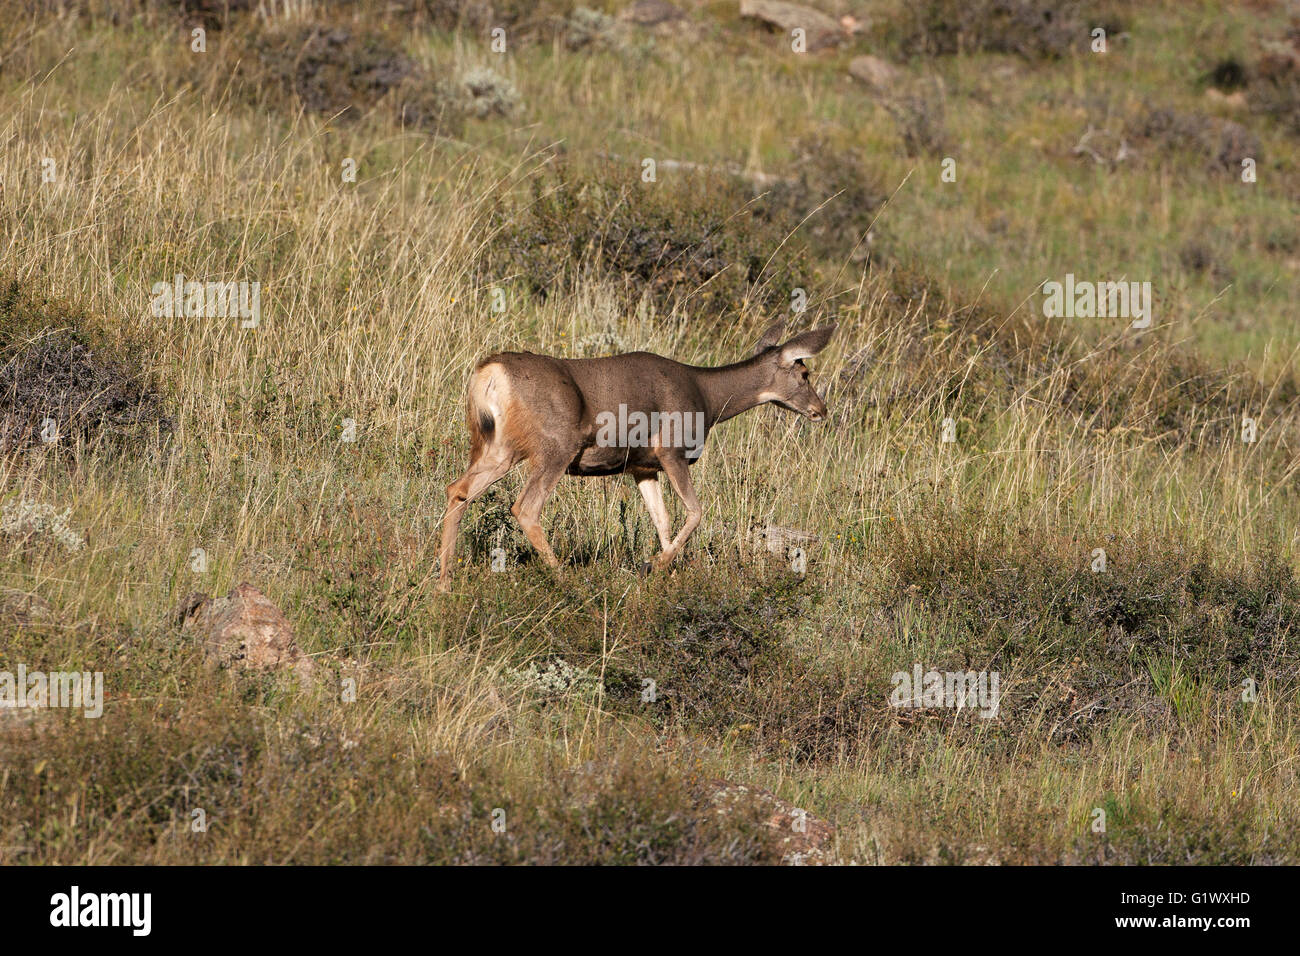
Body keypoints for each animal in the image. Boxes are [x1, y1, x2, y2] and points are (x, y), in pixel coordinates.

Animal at [436, 321, 837, 590]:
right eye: (804, 372)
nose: (821, 409)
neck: (707, 399)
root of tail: (488, 374)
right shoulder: (672, 450)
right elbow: (695, 512)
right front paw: (655, 566)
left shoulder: (643, 467)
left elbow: (663, 521)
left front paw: (665, 573)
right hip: (555, 445)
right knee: (525, 506)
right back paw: (565, 578)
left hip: (498, 446)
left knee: (458, 490)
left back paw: (444, 581)